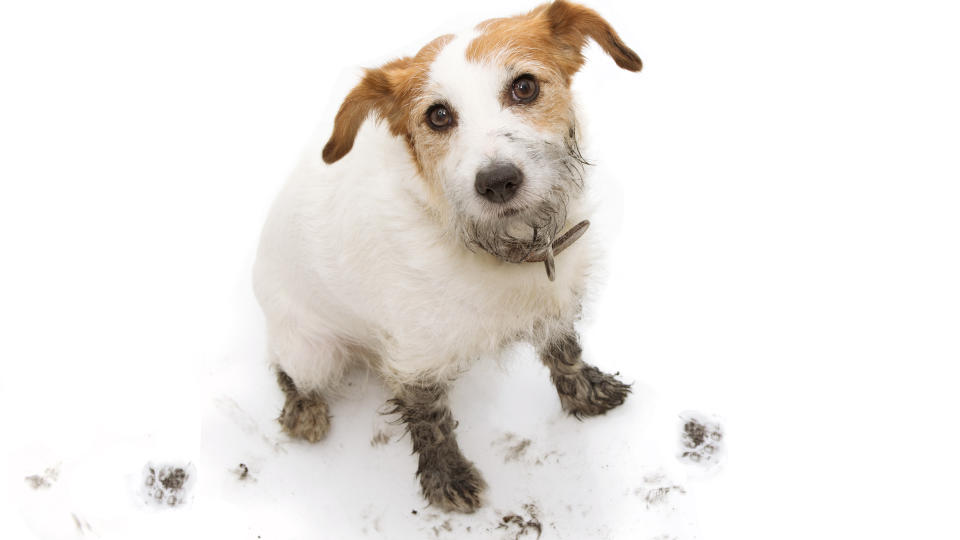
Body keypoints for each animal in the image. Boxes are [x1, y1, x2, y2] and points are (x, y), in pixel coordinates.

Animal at [255, 0, 644, 512]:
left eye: (524, 87)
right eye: (438, 116)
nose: (497, 182)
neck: (498, 247)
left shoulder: (556, 297)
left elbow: (565, 350)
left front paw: (585, 391)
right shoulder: (415, 357)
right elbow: (430, 420)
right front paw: (447, 478)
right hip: (311, 351)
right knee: (287, 369)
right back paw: (304, 408)